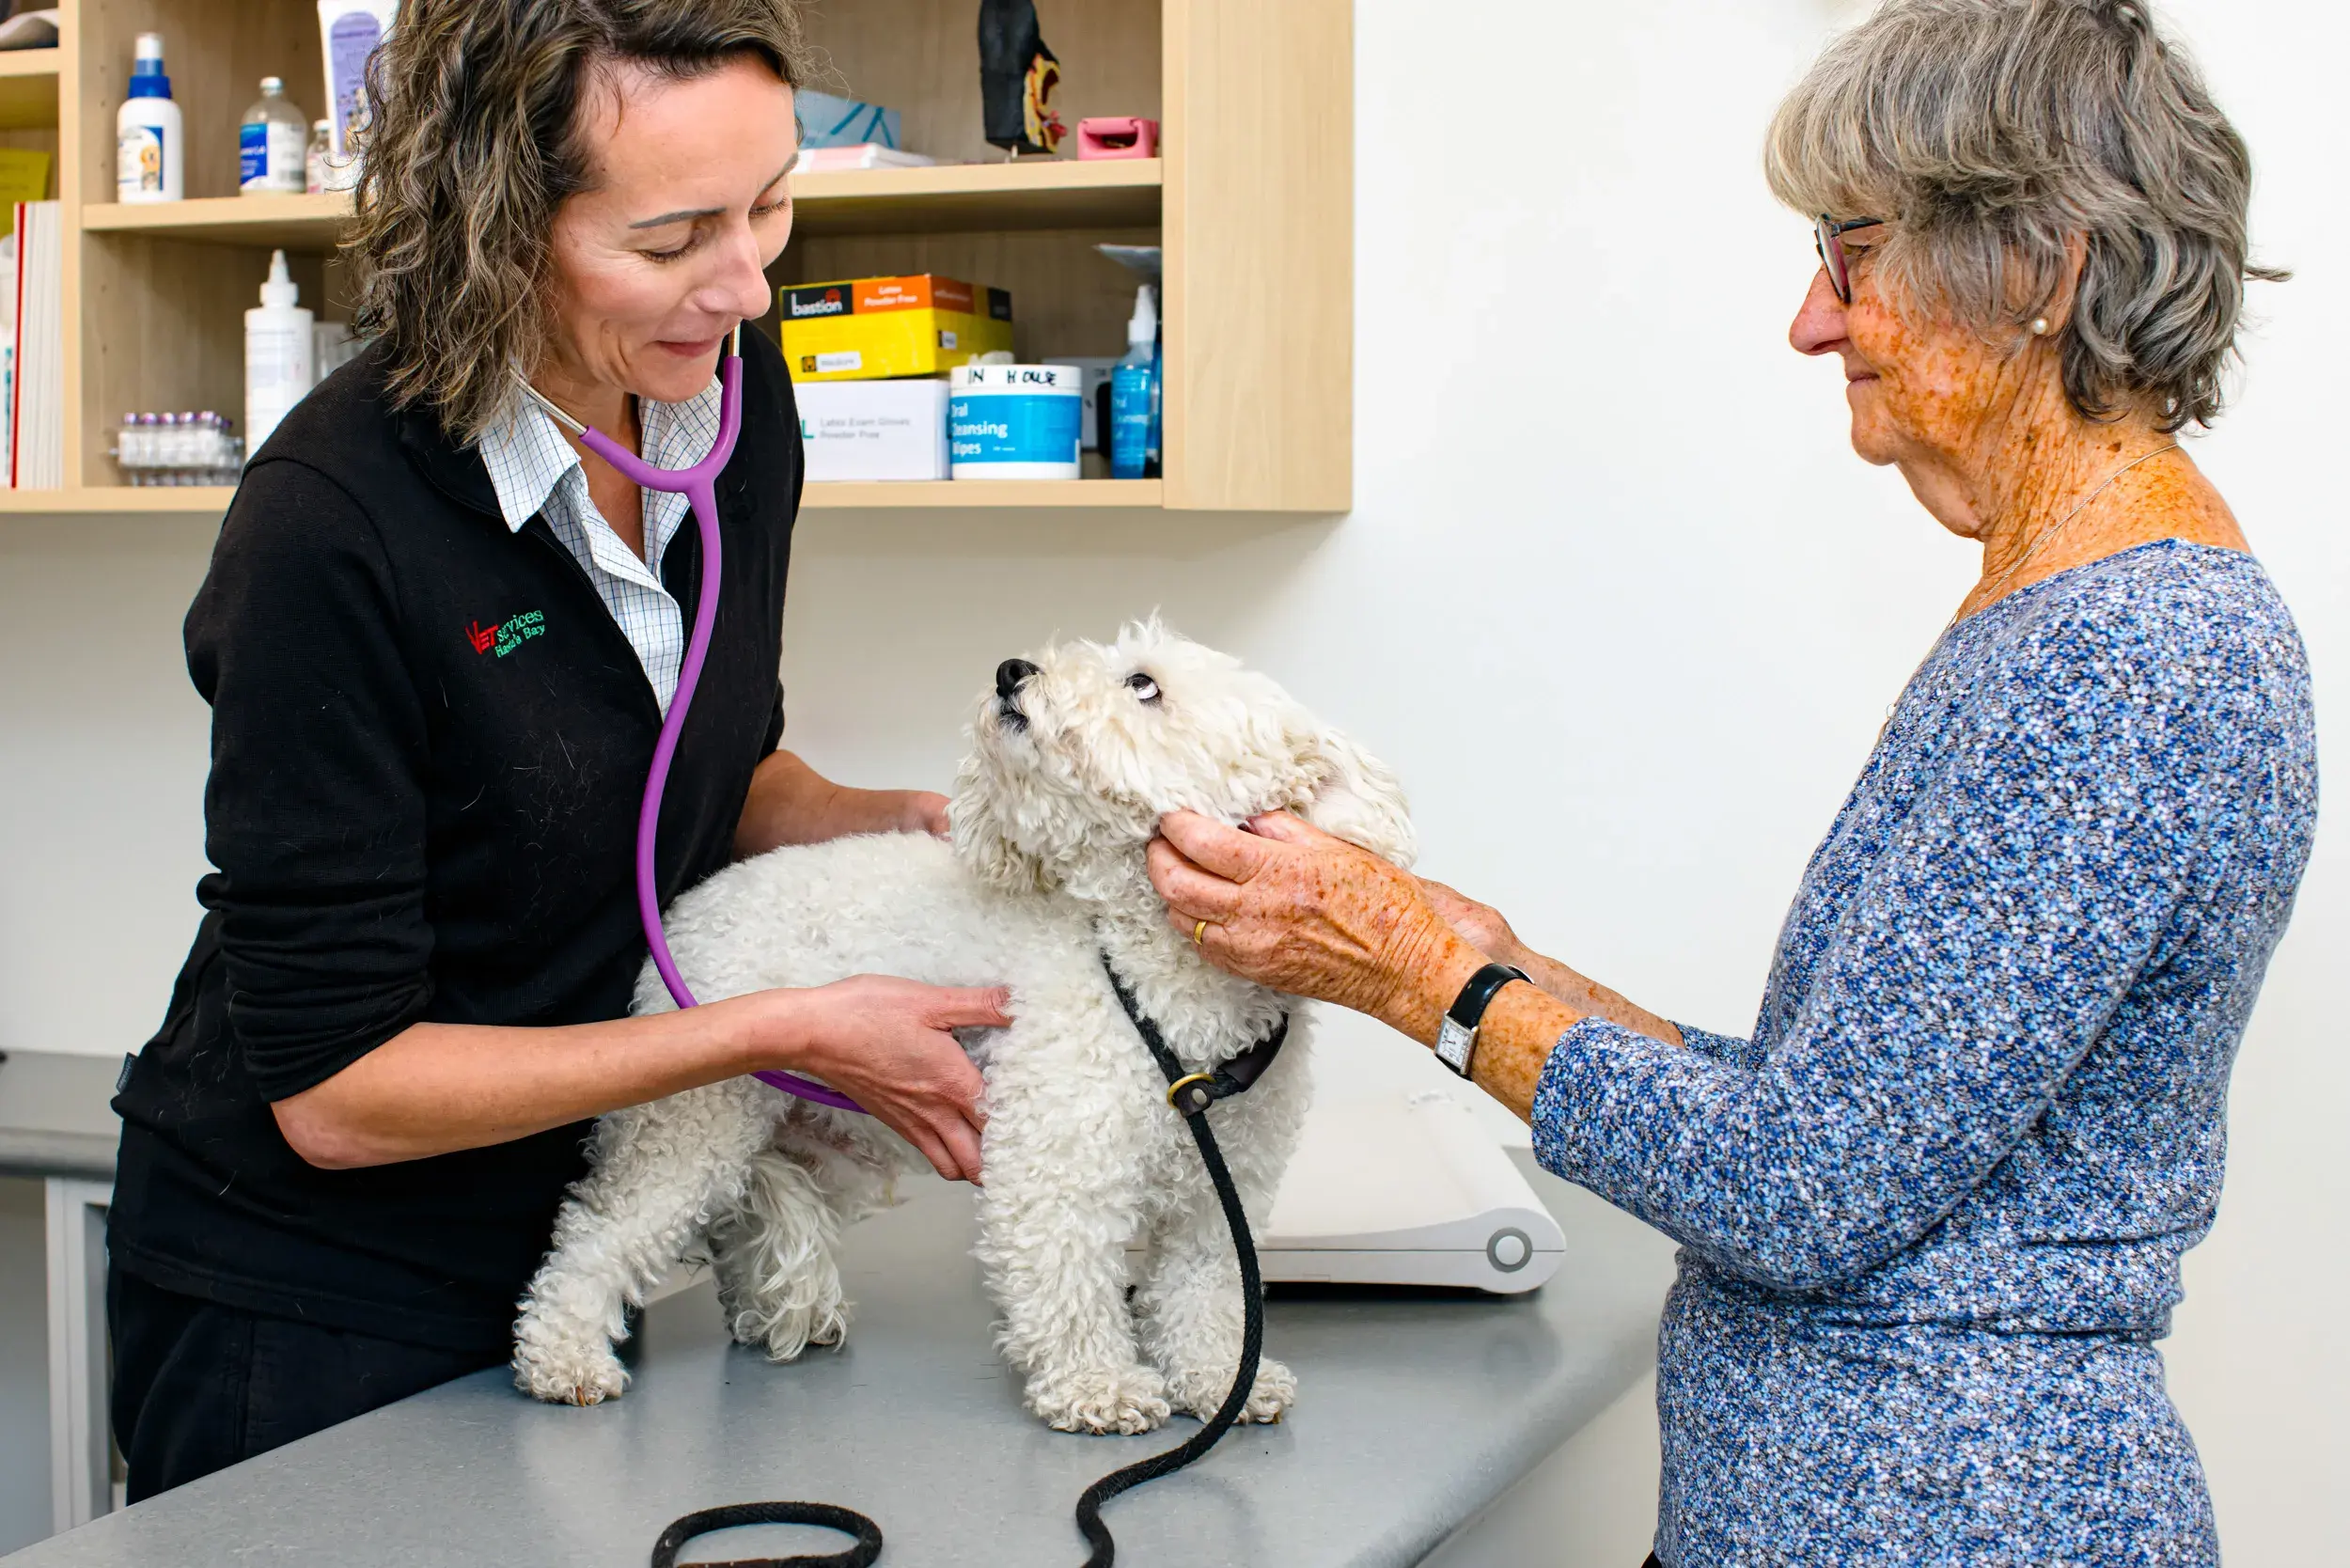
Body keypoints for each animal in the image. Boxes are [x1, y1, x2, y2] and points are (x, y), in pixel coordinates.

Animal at [512, 620, 1410, 1438]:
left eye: (1143, 684)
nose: (1013, 670)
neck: (1150, 977)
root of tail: (686, 910)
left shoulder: (1218, 1195)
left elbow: (1209, 1295)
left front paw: (1223, 1379)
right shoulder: (1060, 1166)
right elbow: (1070, 1284)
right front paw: (1100, 1388)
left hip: (815, 1144)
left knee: (741, 1223)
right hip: (692, 1121)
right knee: (597, 1235)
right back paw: (562, 1357)